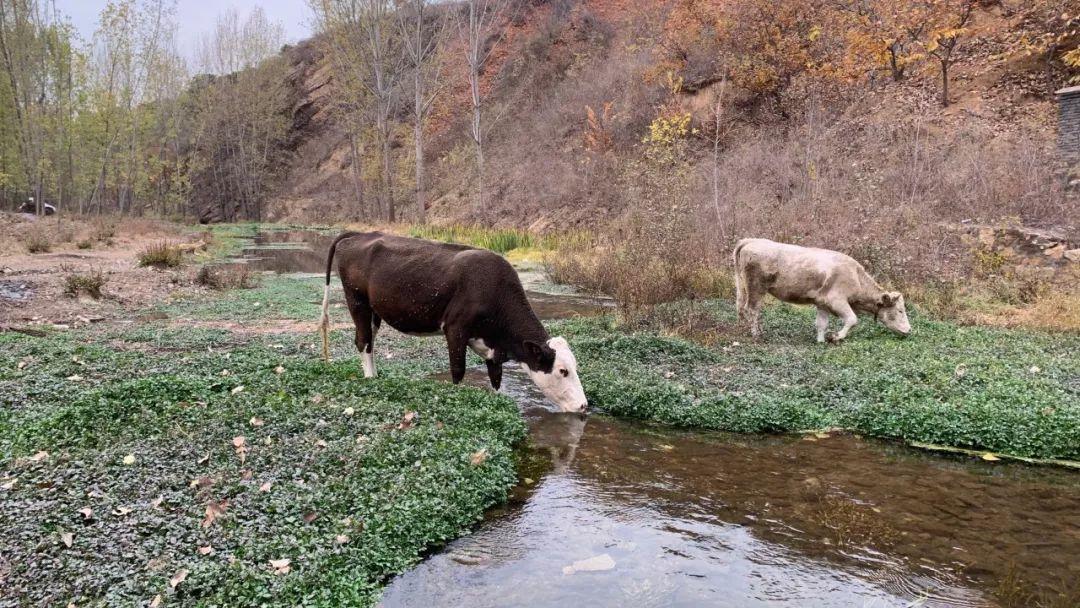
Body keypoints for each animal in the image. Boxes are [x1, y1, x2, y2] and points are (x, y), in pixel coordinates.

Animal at [734, 237, 911, 343]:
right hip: (756, 287)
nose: (909, 329)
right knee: (752, 309)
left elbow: (821, 323)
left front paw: (820, 341)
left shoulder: (822, 302)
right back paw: (757, 334)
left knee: (741, 307)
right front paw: (835, 337)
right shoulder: (837, 300)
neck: (856, 276)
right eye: (900, 310)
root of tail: (751, 240)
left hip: (743, 286)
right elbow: (852, 319)